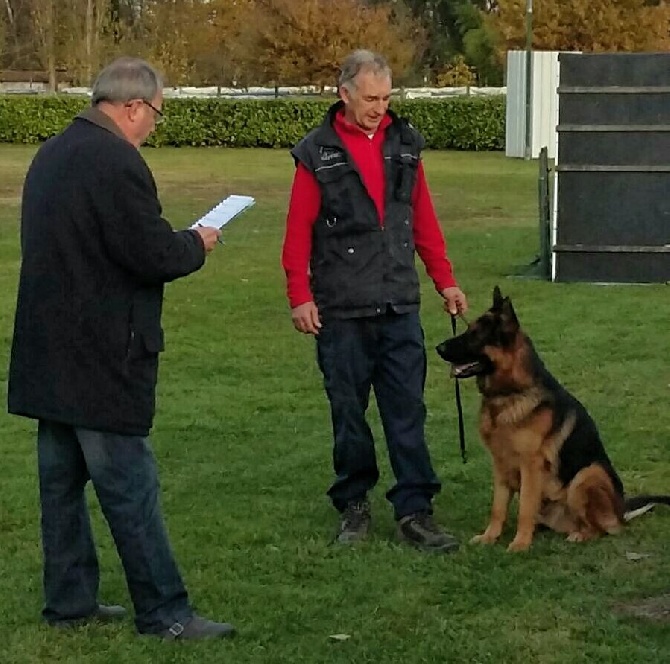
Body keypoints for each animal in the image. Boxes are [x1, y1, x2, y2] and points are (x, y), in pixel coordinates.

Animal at [438, 288, 668, 552]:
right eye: (468, 330)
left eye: (475, 335)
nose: (437, 347)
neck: (510, 394)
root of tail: (621, 510)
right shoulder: (500, 464)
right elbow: (498, 508)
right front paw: (489, 537)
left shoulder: (531, 465)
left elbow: (525, 508)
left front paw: (519, 544)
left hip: (587, 475)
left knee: (603, 528)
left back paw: (580, 534)